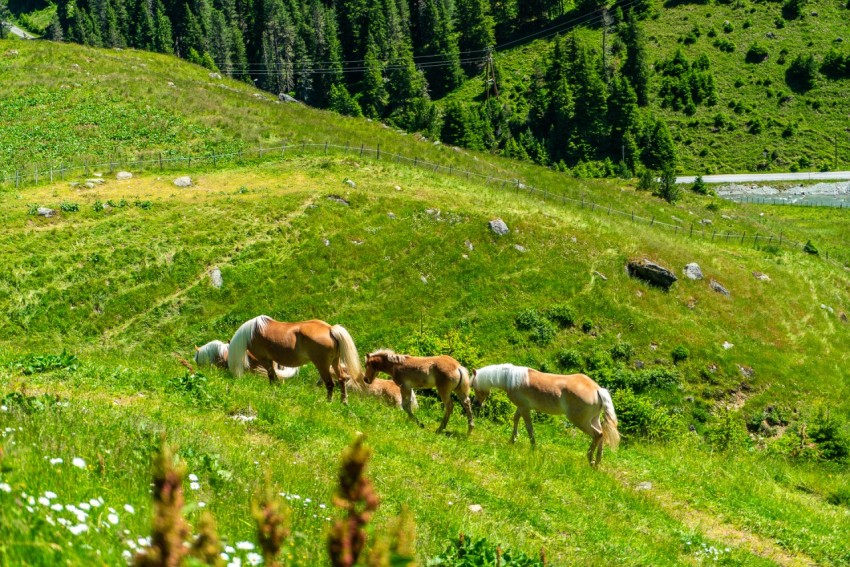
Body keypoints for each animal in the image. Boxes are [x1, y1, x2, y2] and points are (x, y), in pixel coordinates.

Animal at [227, 316, 362, 403]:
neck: (251, 333)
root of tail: (330, 329)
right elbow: (274, 377)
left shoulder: (265, 360)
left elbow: (272, 377)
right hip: (335, 362)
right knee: (341, 379)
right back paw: (343, 402)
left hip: (322, 365)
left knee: (330, 384)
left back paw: (328, 402)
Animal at [471, 364, 619, 467]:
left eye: (473, 385)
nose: (476, 403)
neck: (512, 379)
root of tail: (597, 389)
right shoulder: (522, 407)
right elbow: (516, 419)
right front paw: (512, 440)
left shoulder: (525, 408)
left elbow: (529, 427)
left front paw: (533, 446)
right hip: (593, 420)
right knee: (602, 435)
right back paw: (597, 462)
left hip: (580, 421)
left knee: (598, 435)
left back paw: (589, 458)